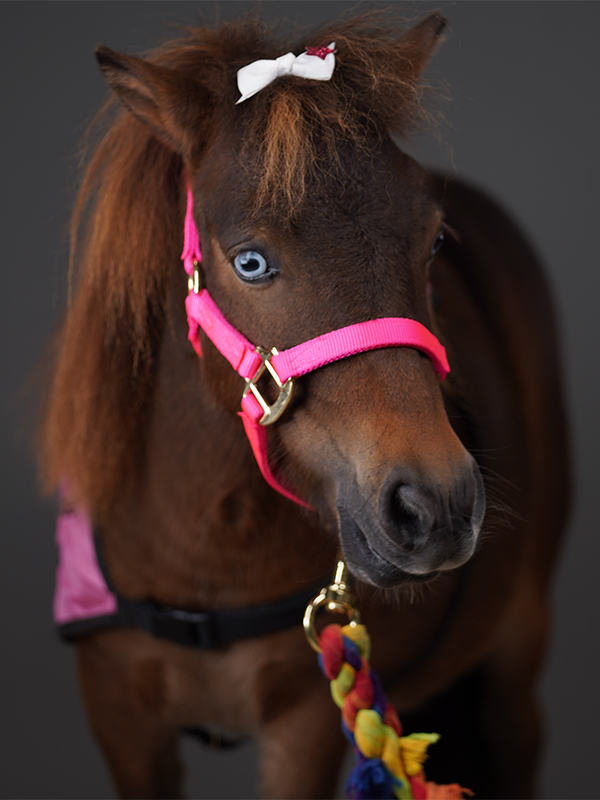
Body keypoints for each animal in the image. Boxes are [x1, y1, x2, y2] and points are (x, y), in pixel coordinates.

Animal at [39, 10, 568, 800]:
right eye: (250, 262)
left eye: (435, 241)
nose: (436, 505)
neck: (208, 545)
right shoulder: (118, 713)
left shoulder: (306, 726)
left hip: (516, 657)